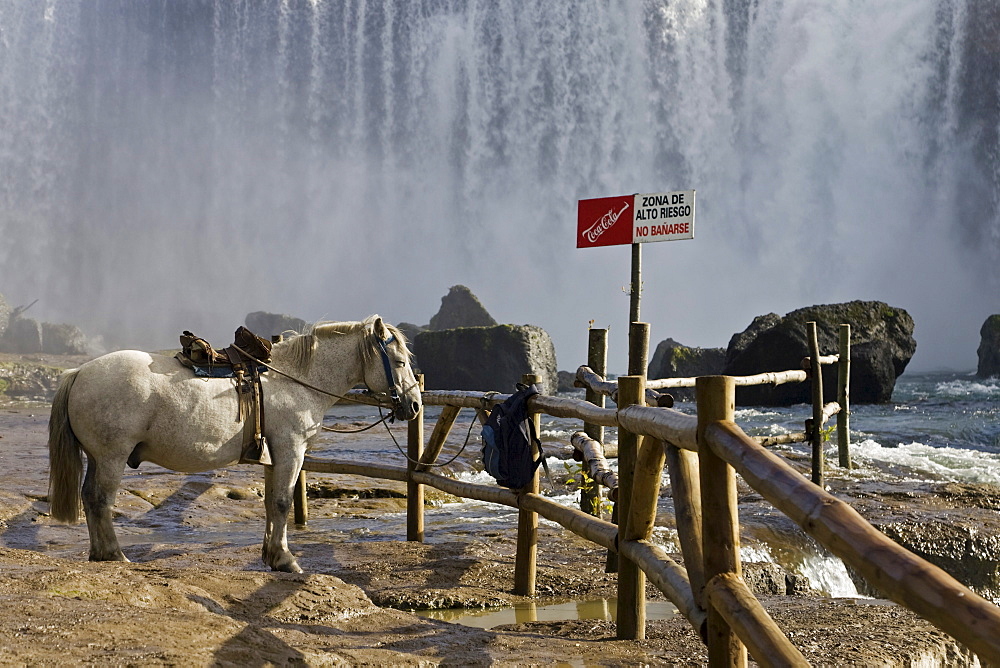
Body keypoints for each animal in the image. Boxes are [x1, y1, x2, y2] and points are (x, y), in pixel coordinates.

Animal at [47, 316, 418, 572]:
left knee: (89, 497)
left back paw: (99, 554)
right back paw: (114, 554)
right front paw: (285, 560)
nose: (414, 405)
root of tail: (79, 372)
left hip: (97, 457)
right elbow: (282, 502)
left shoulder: (274, 455)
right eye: (400, 362)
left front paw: (271, 554)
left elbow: (270, 503)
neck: (295, 380)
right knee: (100, 499)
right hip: (112, 456)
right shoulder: (291, 451)